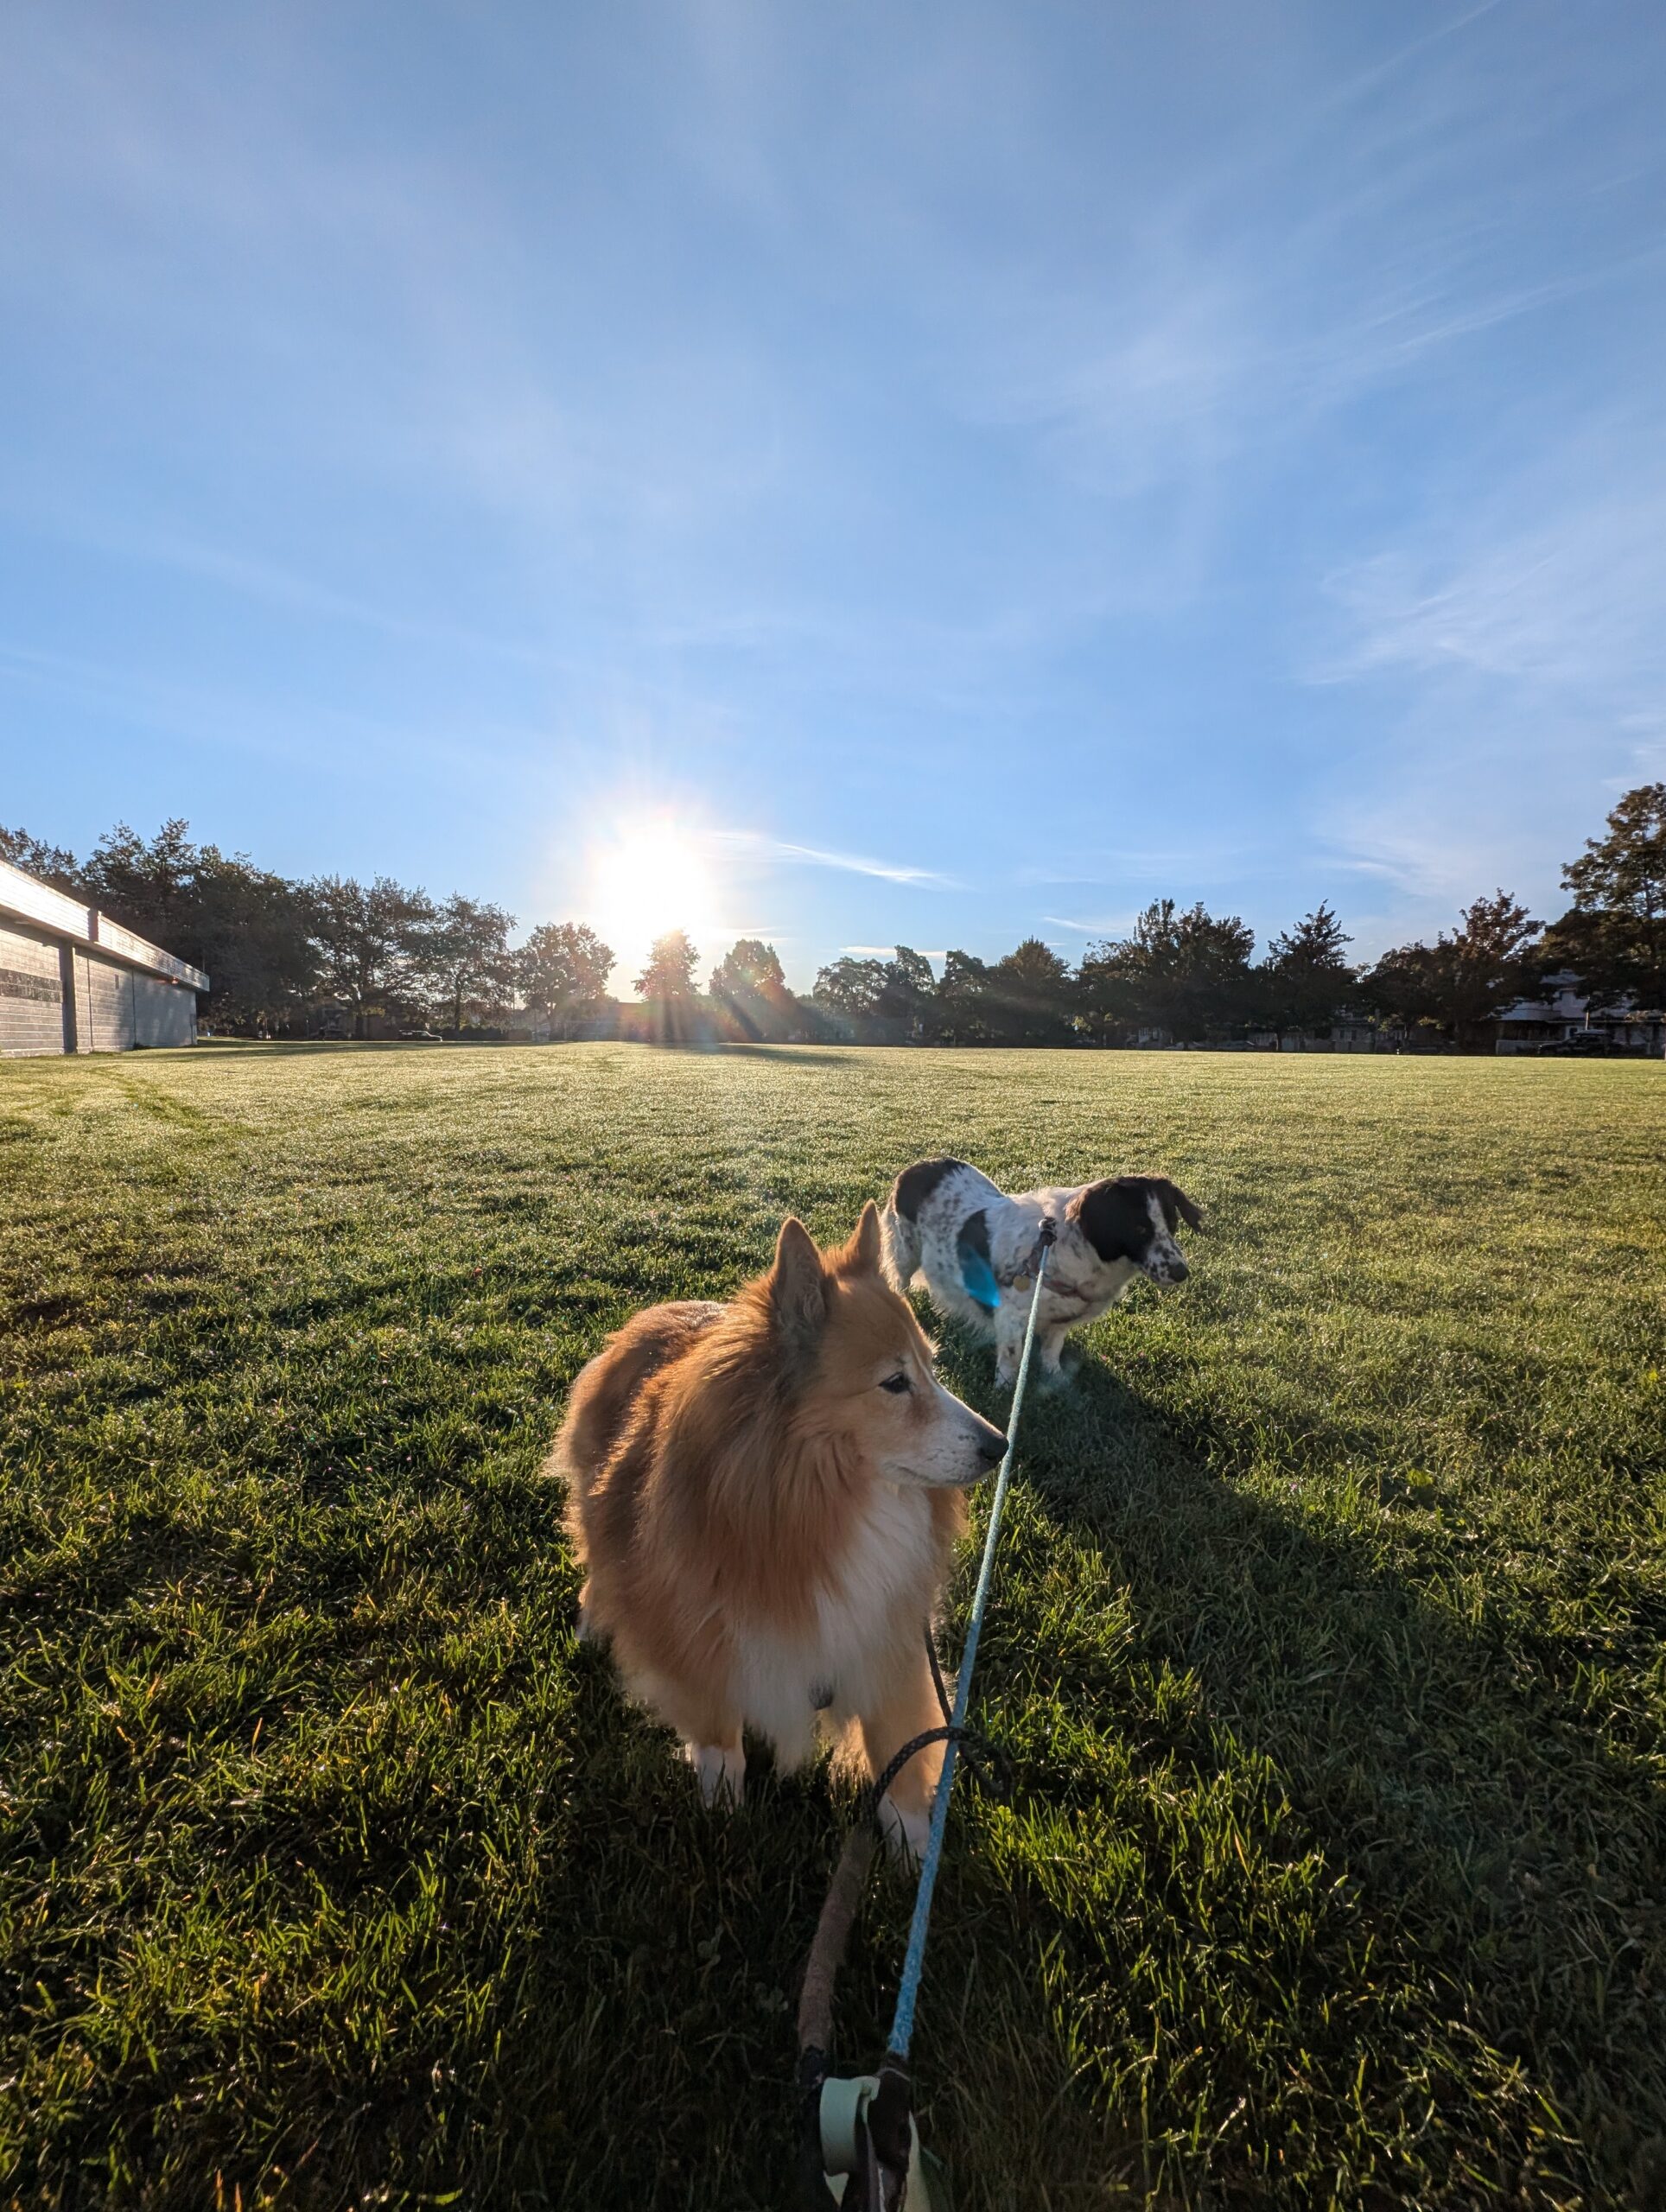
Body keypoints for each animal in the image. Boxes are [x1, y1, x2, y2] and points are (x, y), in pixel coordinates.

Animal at [552, 1201, 1008, 1858]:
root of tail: (654, 1313)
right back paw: (593, 1623)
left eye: (932, 1368)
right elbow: (719, 1730)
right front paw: (723, 1798)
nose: (1000, 1446)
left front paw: (915, 1851)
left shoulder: (885, 1637)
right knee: (597, 1561)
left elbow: (897, 1751)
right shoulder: (695, 1628)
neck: (823, 1498)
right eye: (895, 1383)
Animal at [881, 1158, 1202, 1388]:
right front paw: (1004, 1390)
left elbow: (1052, 1350)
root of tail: (917, 1168)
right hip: (907, 1250)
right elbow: (1012, 1357)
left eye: (1172, 1224)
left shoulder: (1060, 1320)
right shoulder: (1010, 1314)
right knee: (900, 1282)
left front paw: (1054, 1376)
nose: (1181, 1272)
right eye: (1139, 1228)